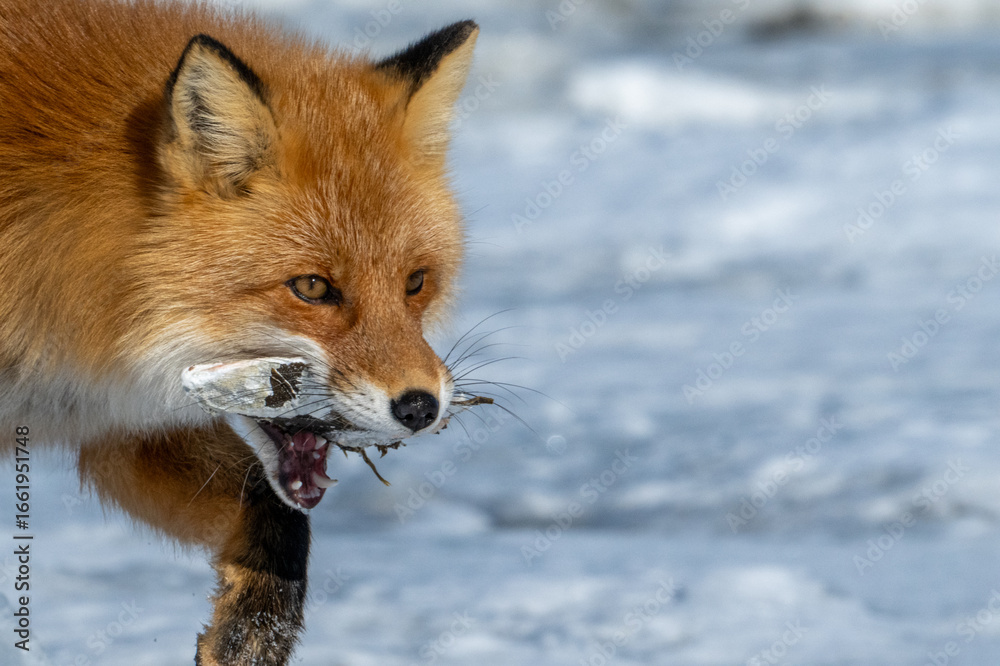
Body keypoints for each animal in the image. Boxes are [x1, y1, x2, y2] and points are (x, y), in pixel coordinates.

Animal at [0, 0, 485, 663]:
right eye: (312, 288)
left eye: (415, 282)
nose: (420, 407)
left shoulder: (119, 424)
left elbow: (273, 516)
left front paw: (251, 633)